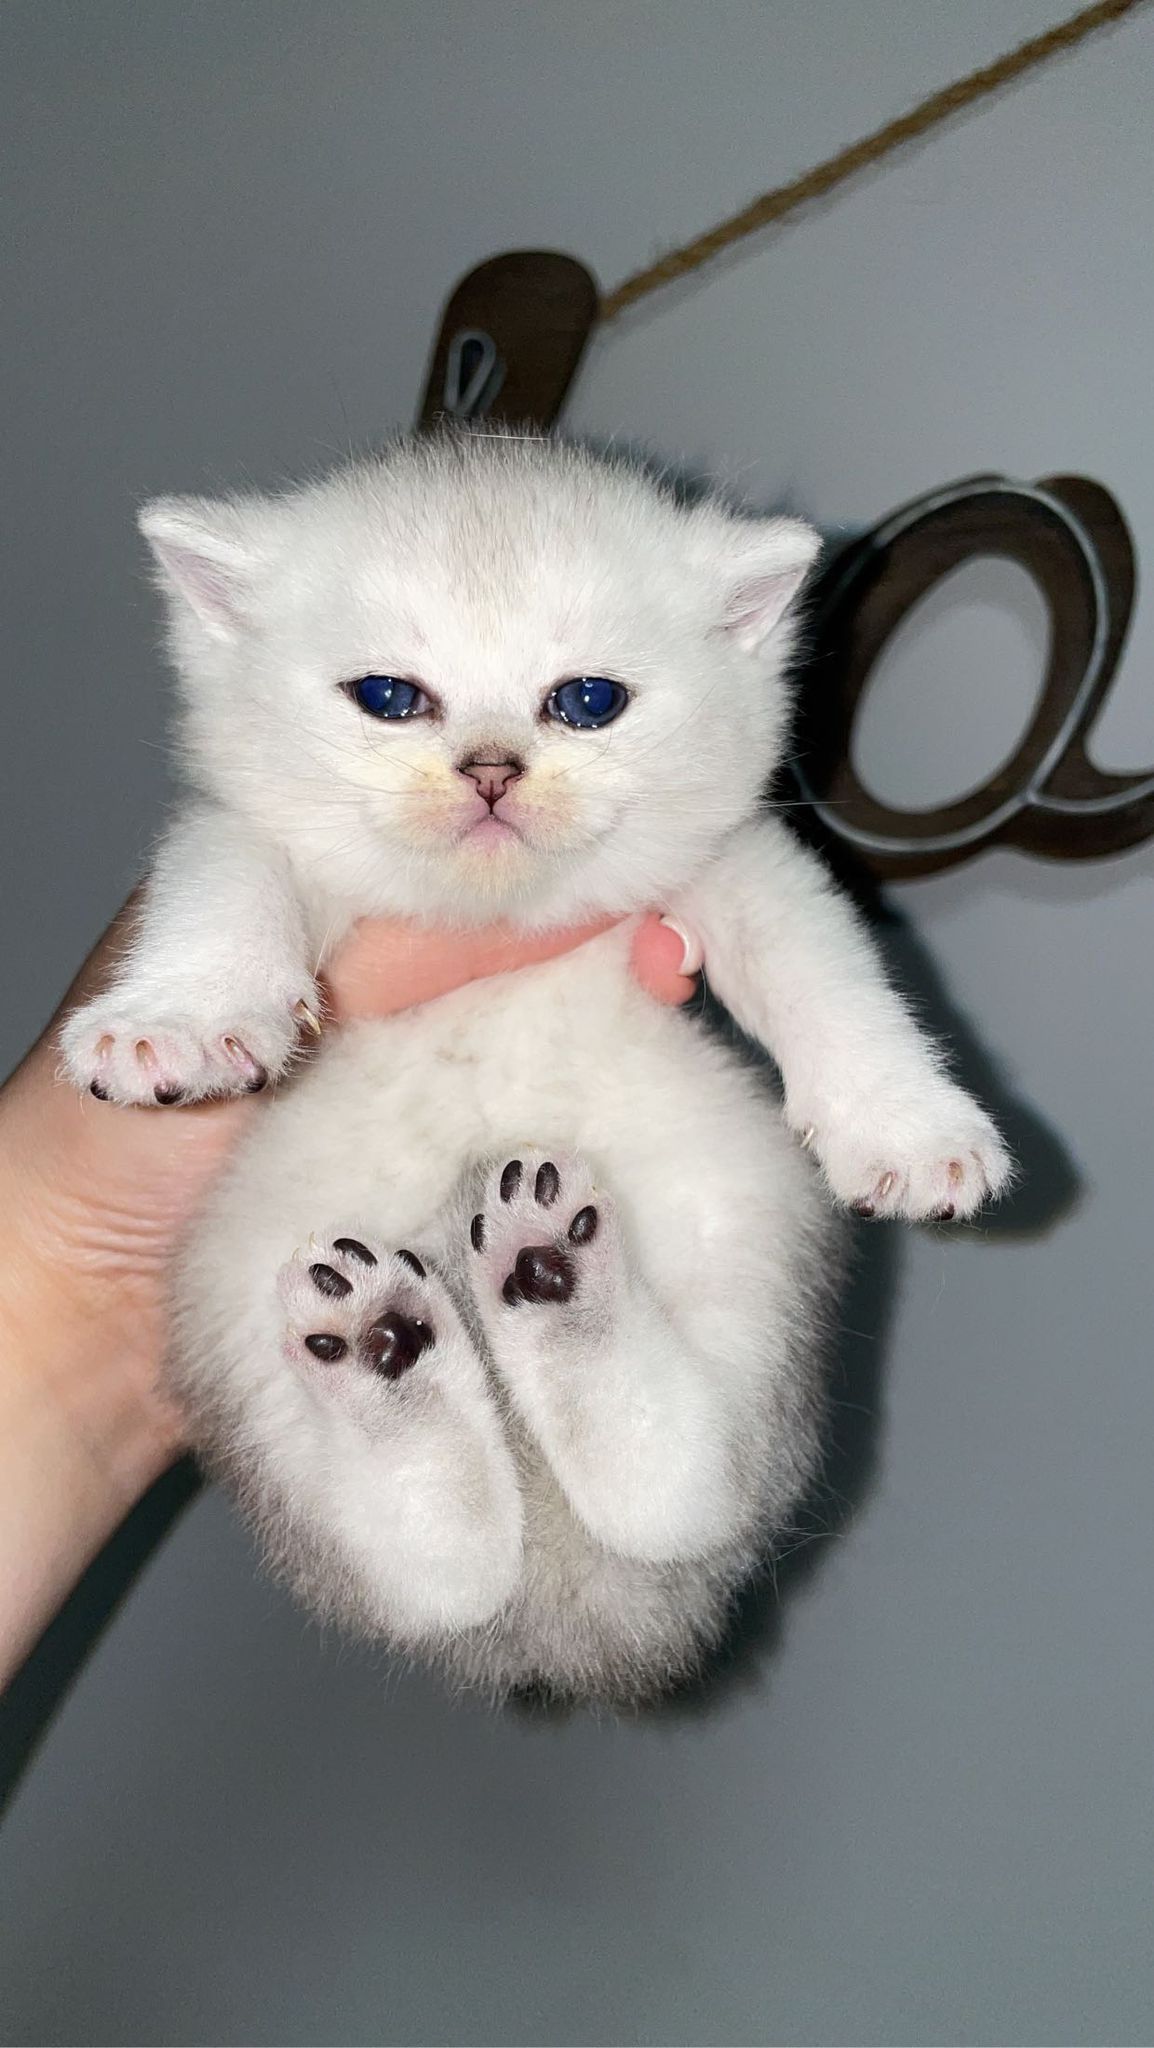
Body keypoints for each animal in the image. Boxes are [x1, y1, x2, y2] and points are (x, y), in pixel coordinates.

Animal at [61, 428, 1011, 1704]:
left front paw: (909, 1125)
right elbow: (221, 877)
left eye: (586, 701)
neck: (490, 924)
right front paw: (175, 1017)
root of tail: (563, 1602)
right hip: (238, 1297)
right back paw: (392, 1342)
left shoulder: (731, 863)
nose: (490, 767)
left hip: (740, 1223)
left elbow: (819, 956)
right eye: (389, 697)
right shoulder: (244, 834)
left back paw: (542, 1275)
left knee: (679, 1491)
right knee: (434, 1578)